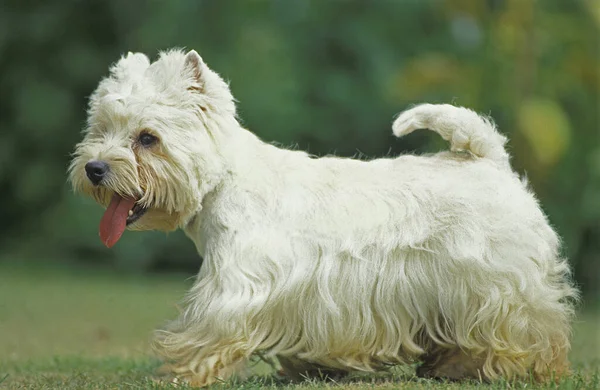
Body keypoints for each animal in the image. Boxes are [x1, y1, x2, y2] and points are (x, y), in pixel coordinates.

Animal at [68, 49, 580, 386]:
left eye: (147, 138)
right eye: (100, 129)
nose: (94, 169)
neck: (223, 181)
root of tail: (491, 160)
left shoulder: (235, 287)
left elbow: (208, 333)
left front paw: (179, 373)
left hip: (497, 286)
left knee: (533, 330)